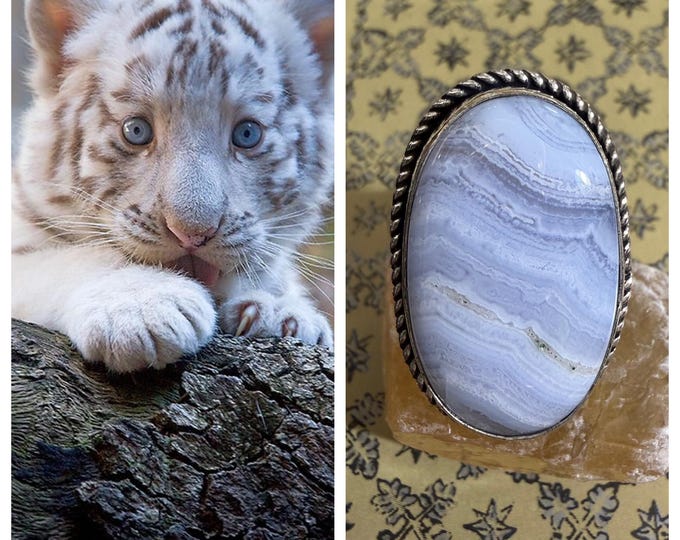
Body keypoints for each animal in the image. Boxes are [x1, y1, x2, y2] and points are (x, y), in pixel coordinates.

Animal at [12, 0, 334, 373]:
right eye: (136, 130)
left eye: (247, 133)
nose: (192, 234)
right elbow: (73, 257)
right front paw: (141, 308)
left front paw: (281, 312)